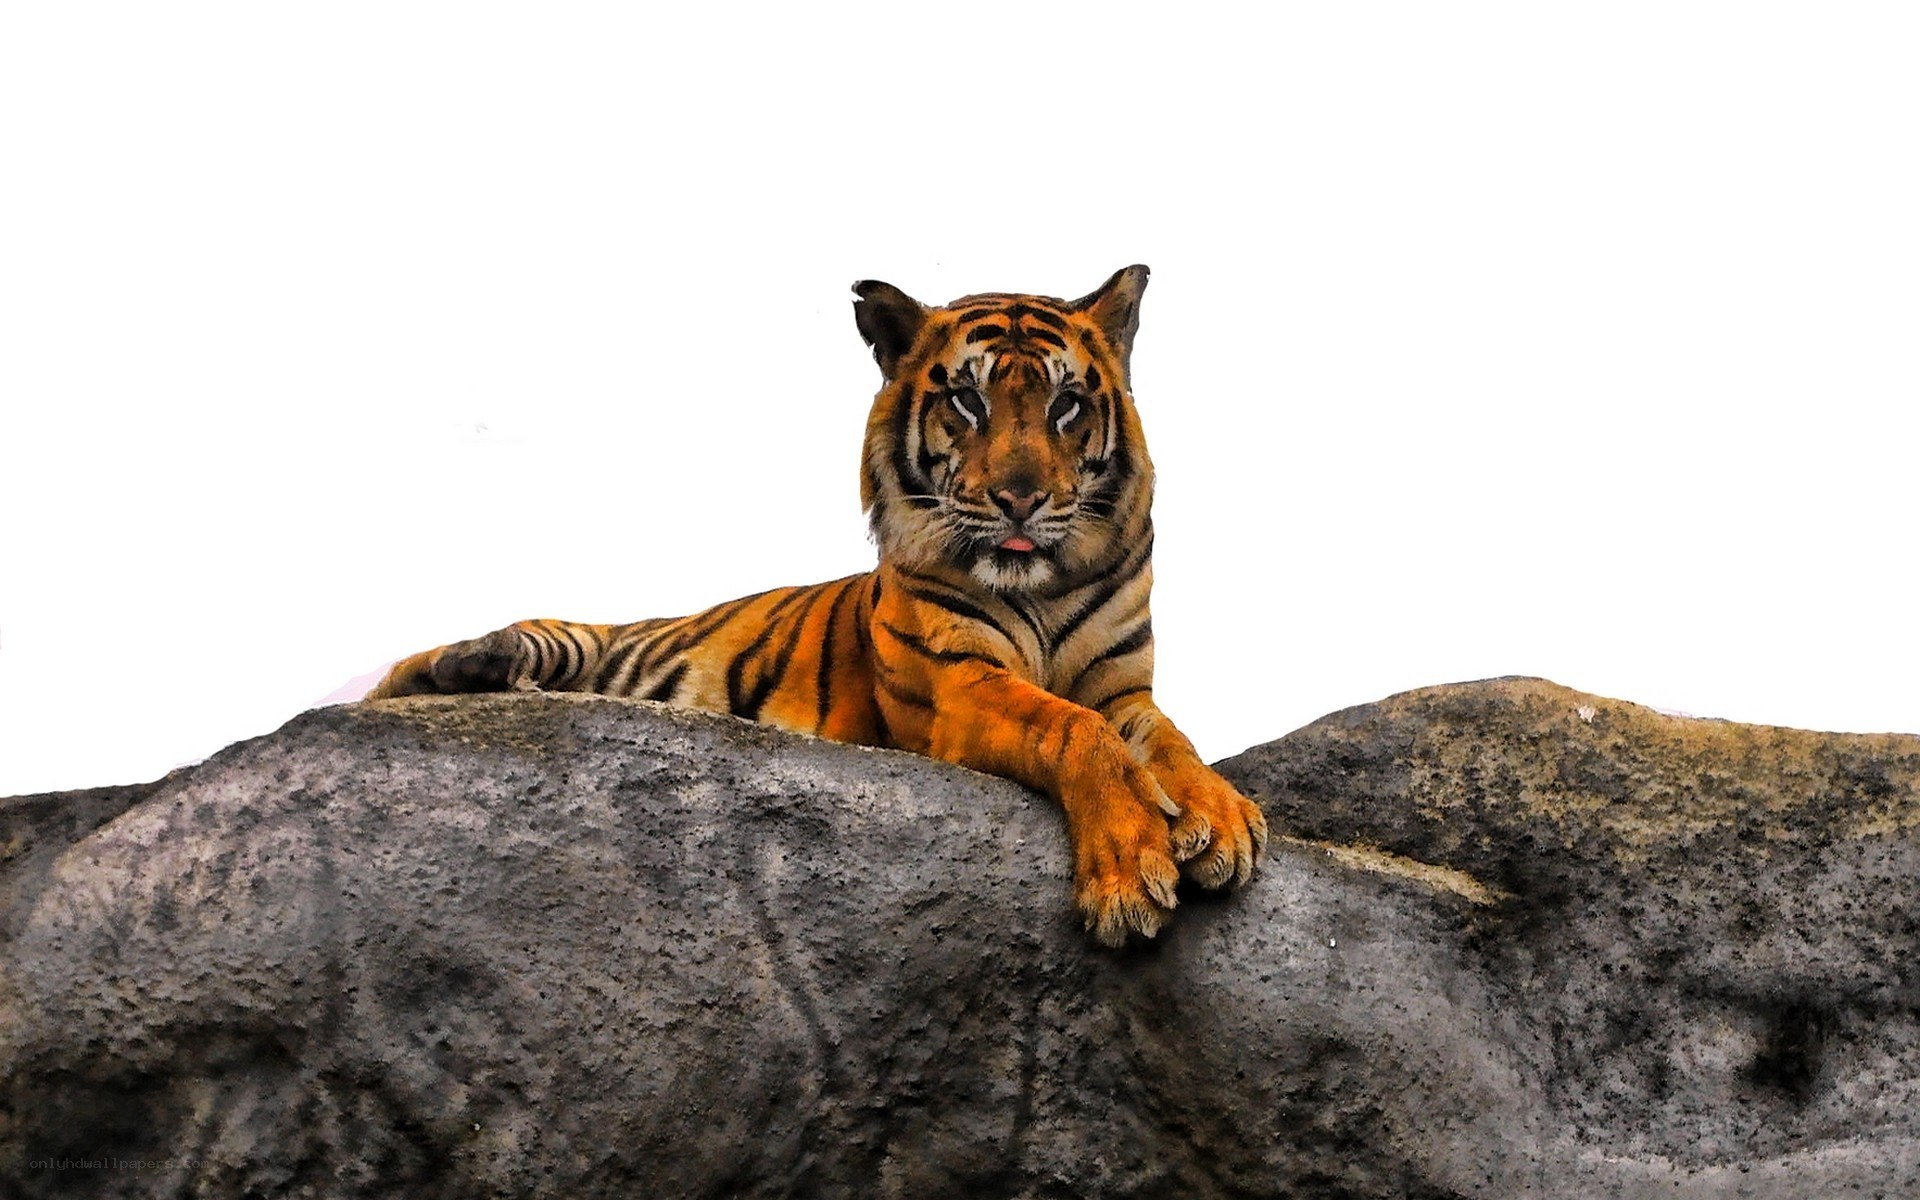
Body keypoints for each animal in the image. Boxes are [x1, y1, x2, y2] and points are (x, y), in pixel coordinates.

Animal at [368, 266, 1267, 945]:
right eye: (968, 402)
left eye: (1066, 405)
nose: (1020, 499)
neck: (1041, 588)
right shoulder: (960, 683)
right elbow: (1071, 730)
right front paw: (1131, 873)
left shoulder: (1124, 690)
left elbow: (1173, 743)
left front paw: (1222, 820)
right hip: (570, 642)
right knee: (430, 668)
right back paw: (463, 667)